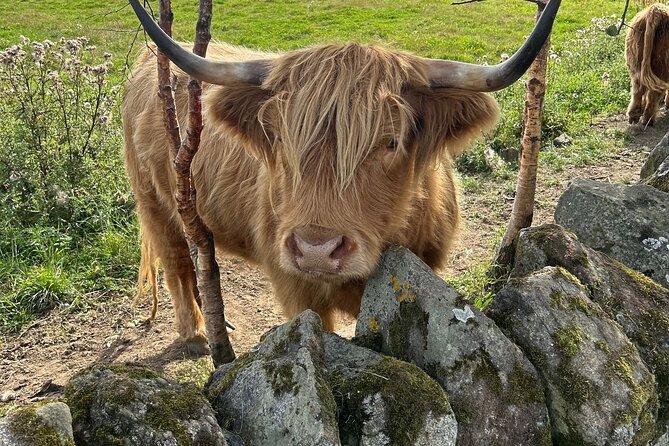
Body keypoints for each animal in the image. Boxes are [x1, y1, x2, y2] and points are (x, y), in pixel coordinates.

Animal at [124, 0, 561, 350]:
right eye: (278, 138)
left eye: (391, 142)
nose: (316, 249)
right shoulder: (295, 287)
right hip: (155, 202)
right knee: (177, 262)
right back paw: (197, 334)